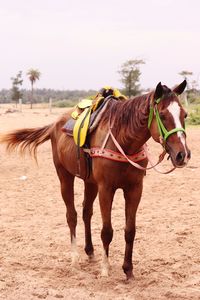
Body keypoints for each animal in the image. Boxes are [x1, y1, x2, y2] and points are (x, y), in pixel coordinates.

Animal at [0, 80, 191, 278]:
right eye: (162, 115)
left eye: (184, 114)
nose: (182, 155)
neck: (123, 140)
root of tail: (55, 125)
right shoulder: (106, 188)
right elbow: (107, 231)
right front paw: (105, 269)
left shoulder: (135, 188)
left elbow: (130, 230)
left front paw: (128, 269)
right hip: (64, 176)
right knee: (72, 215)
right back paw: (75, 259)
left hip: (90, 182)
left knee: (86, 212)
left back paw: (90, 251)